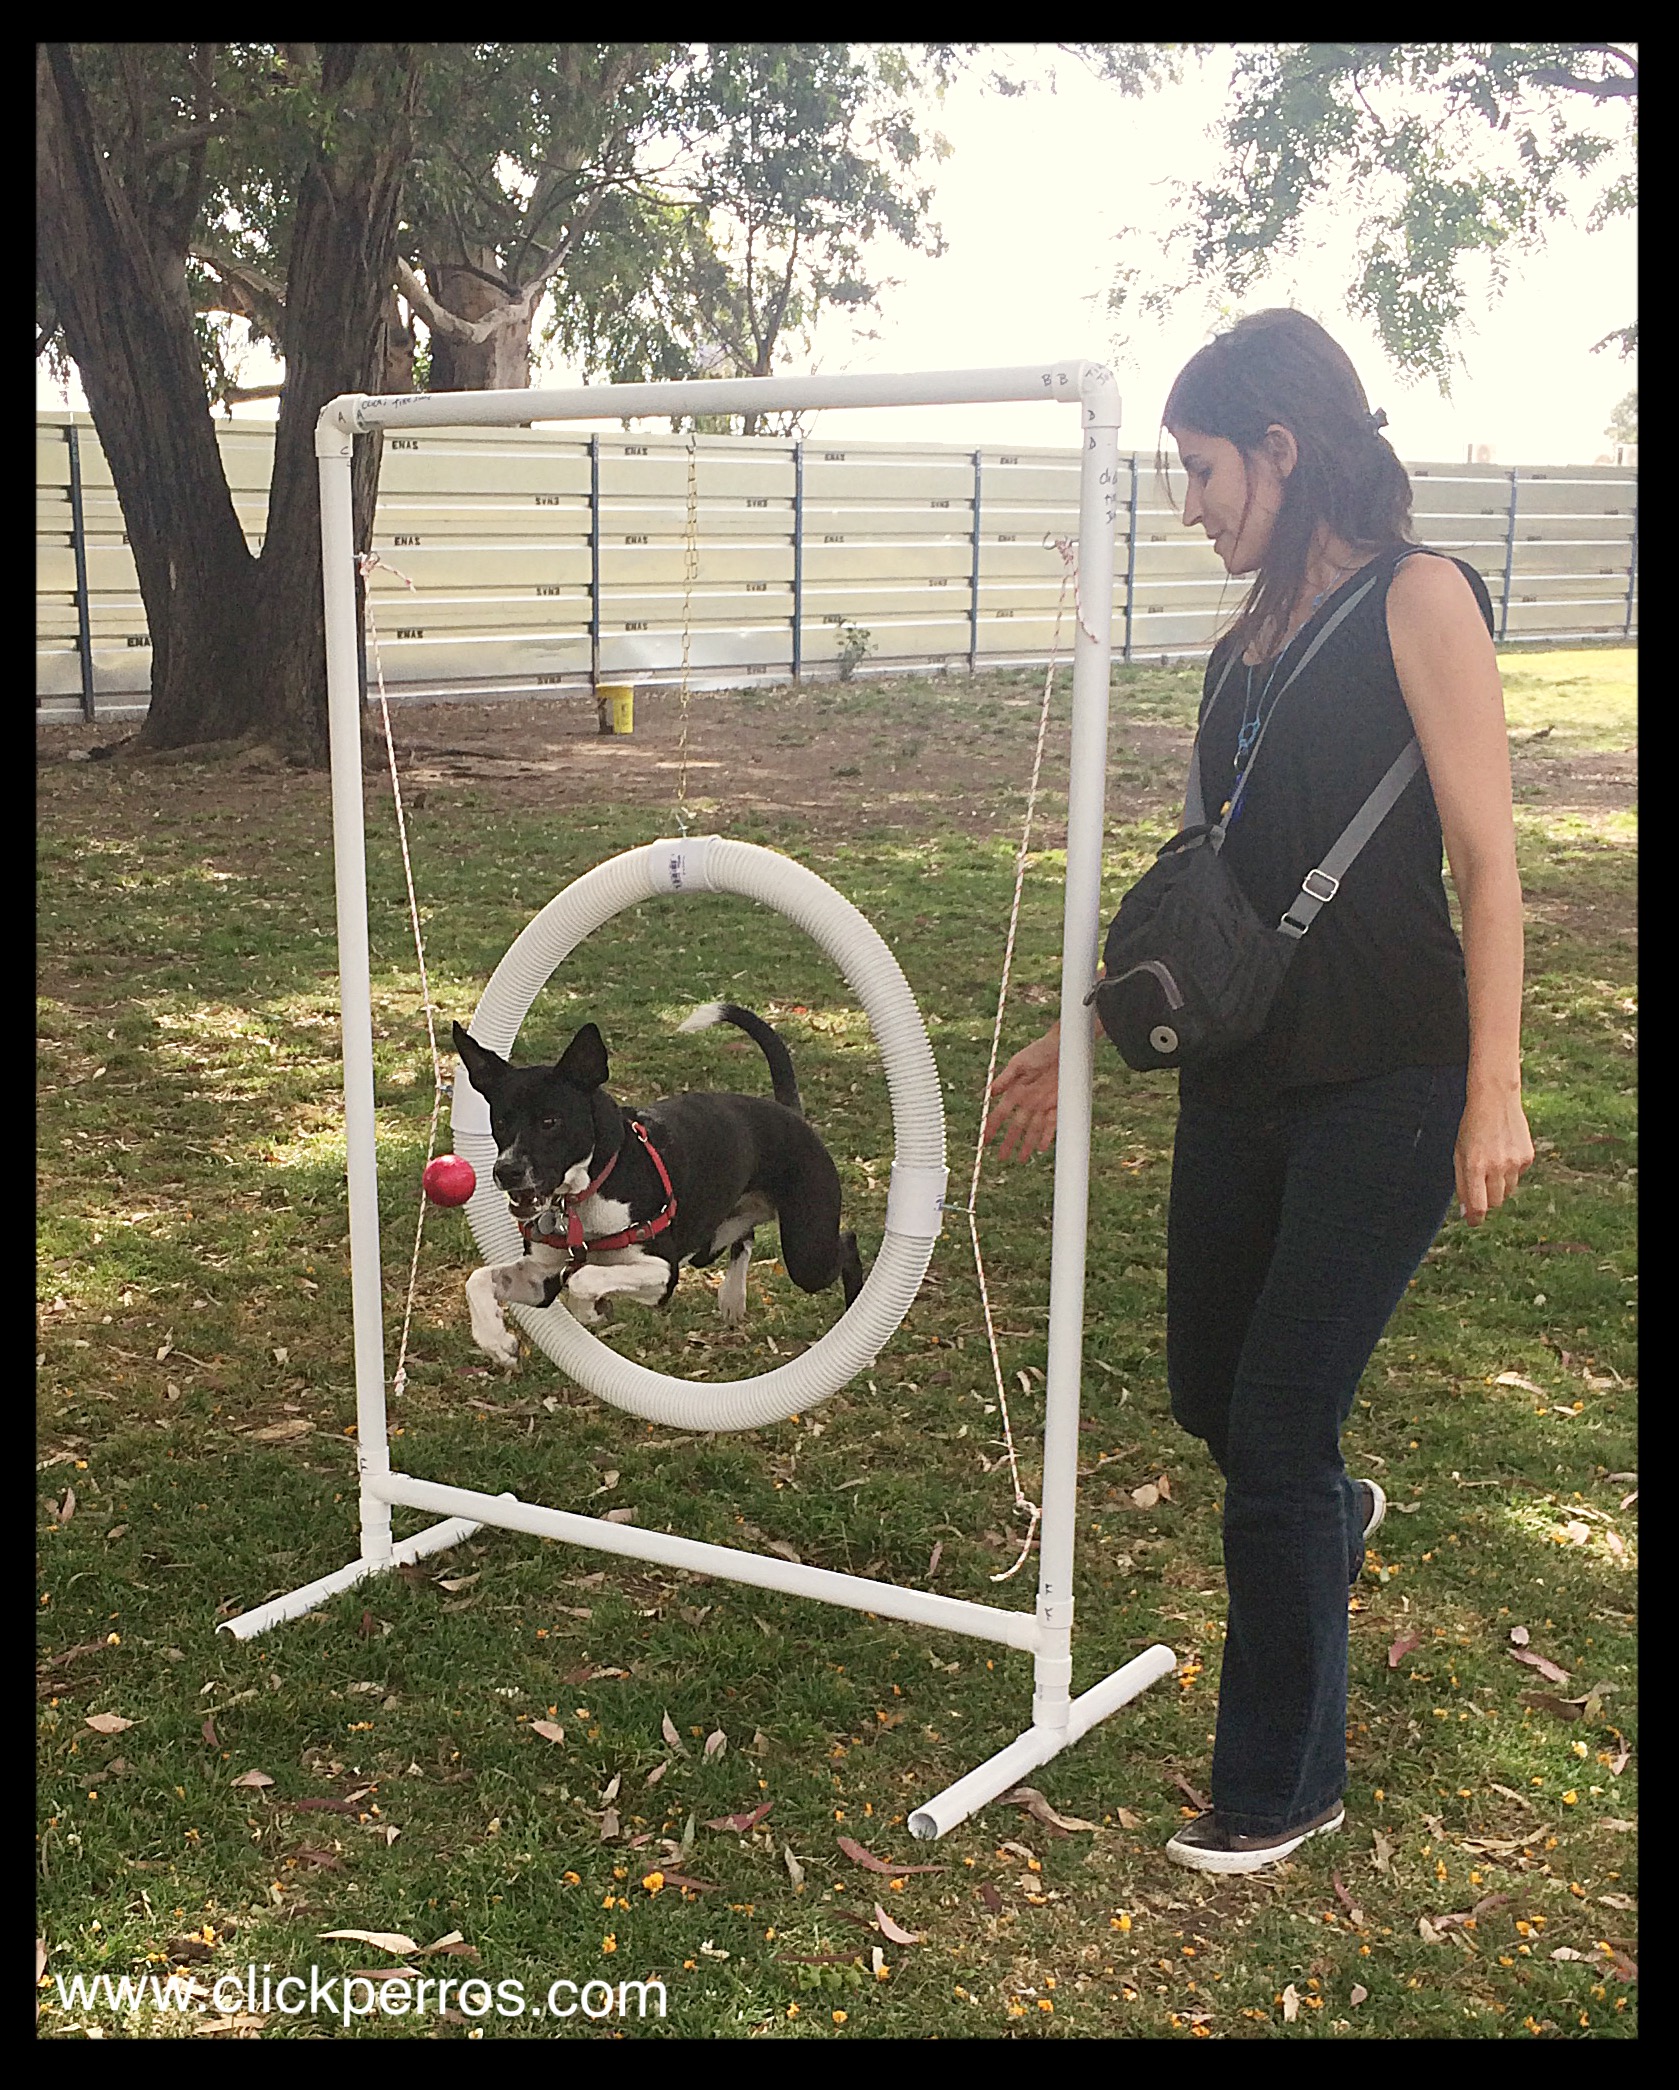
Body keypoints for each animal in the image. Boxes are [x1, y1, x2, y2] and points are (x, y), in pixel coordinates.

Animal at [453, 999, 861, 1371]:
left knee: (846, 1243)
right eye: (500, 1121)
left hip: (808, 1253)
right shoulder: (542, 1276)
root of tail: (791, 1114)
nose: (507, 1171)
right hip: (713, 1239)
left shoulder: (663, 1273)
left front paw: (591, 1310)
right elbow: (479, 1279)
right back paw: (732, 1296)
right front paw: (496, 1341)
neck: (589, 1192)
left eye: (550, 1121)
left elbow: (583, 1279)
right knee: (744, 1238)